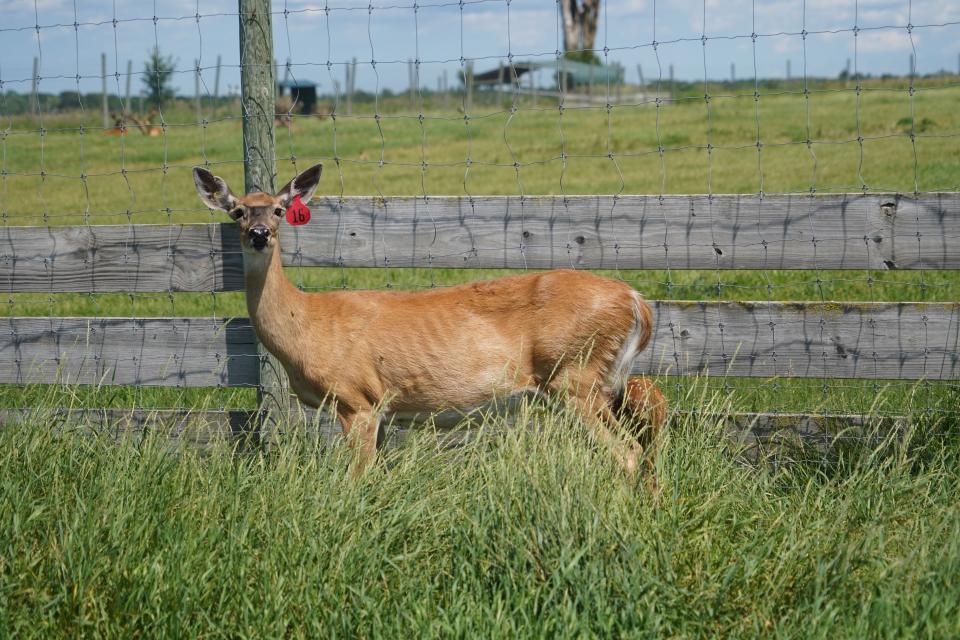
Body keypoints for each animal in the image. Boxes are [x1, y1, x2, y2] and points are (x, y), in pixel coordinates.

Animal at [191, 162, 664, 478]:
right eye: (238, 211)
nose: (259, 234)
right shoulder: (380, 408)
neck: (305, 325)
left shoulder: (356, 398)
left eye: (276, 209)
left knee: (627, 452)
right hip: (598, 383)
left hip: (575, 376)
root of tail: (637, 301)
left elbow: (358, 479)